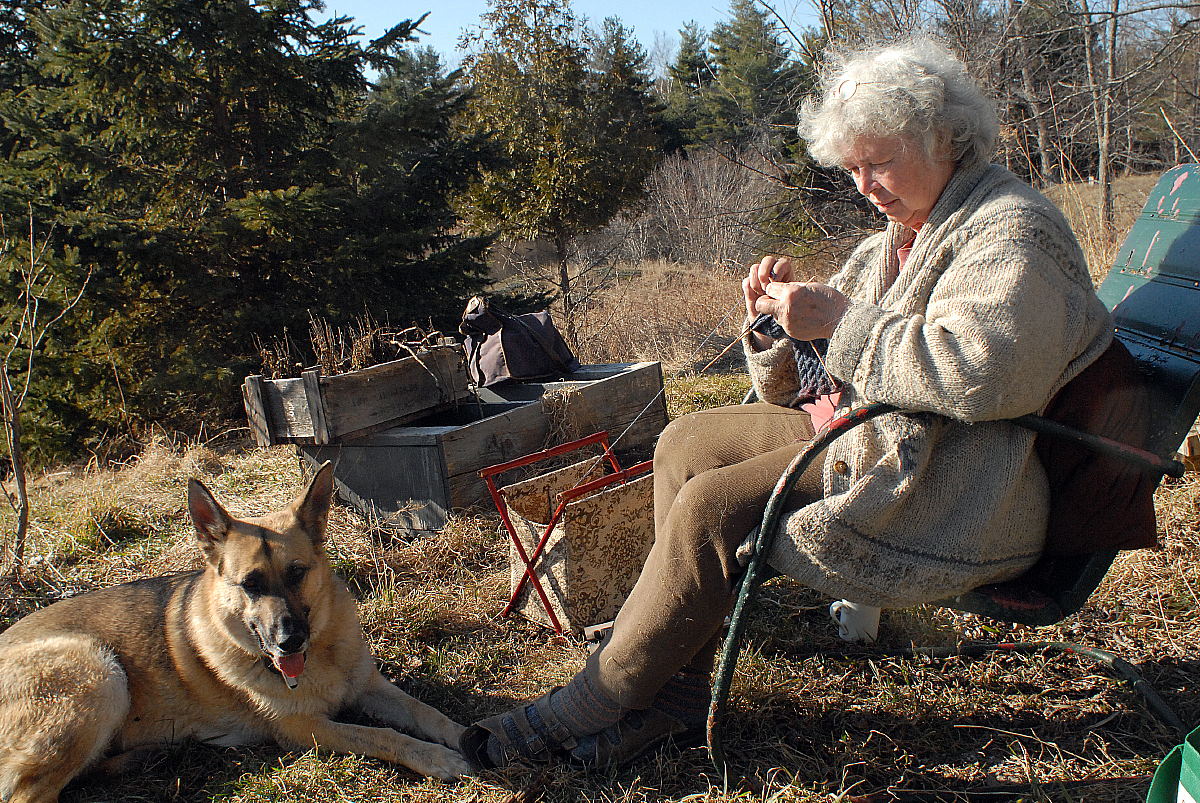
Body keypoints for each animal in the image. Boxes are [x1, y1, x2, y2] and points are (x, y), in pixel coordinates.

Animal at [0, 460, 470, 796]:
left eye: (297, 573)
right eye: (250, 585)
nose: (289, 641)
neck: (320, 656)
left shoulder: (370, 687)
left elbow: (425, 712)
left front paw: (464, 737)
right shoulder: (306, 729)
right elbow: (382, 735)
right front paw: (435, 758)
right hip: (98, 672)